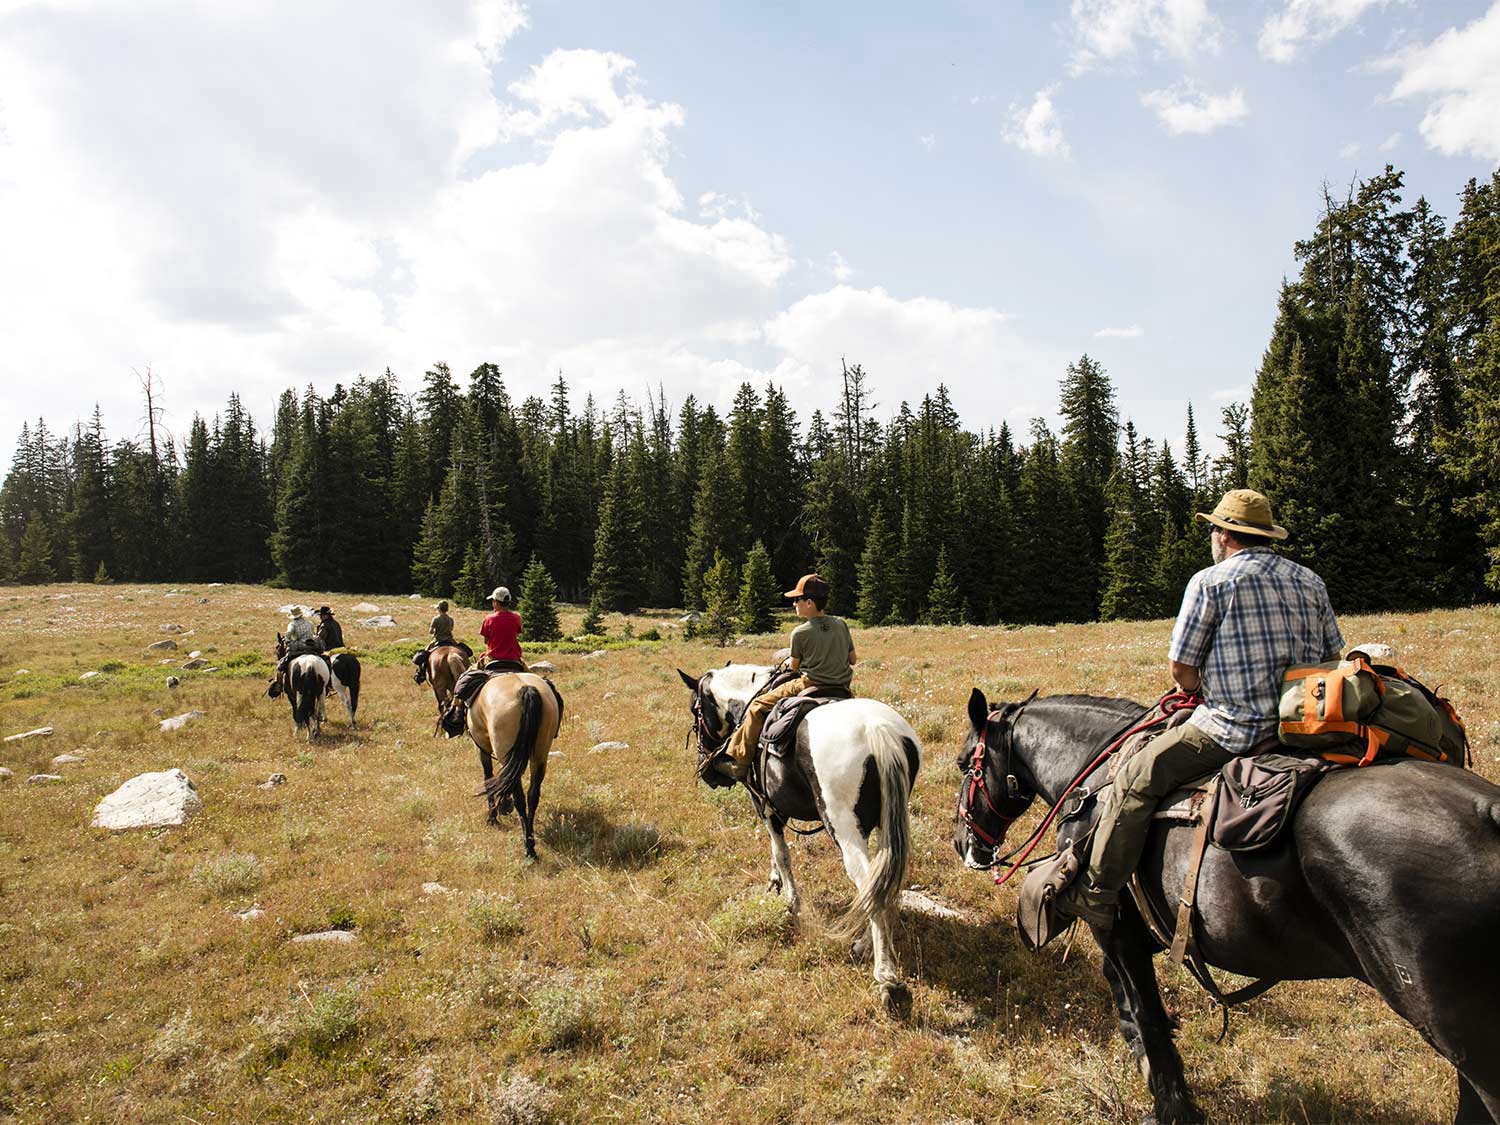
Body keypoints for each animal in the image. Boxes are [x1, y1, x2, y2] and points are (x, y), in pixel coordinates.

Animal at [468, 669, 564, 864]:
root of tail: (526, 689)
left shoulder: (482, 748)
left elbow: (489, 777)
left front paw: (494, 816)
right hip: (540, 753)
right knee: (533, 795)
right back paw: (530, 840)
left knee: (519, 796)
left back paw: (529, 848)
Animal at [678, 666, 912, 1020]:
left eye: (696, 711)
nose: (709, 771)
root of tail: (876, 730)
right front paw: (775, 881)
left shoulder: (763, 802)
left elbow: (781, 851)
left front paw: (790, 900)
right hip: (888, 826)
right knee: (882, 882)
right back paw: (864, 946)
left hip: (844, 830)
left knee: (871, 886)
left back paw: (886, 977)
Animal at [954, 687, 1500, 1125]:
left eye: (964, 764)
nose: (964, 844)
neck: (1096, 775)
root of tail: (1488, 812)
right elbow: (1134, 1018)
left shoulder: (1117, 932)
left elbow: (1148, 1019)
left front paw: (1174, 1110)